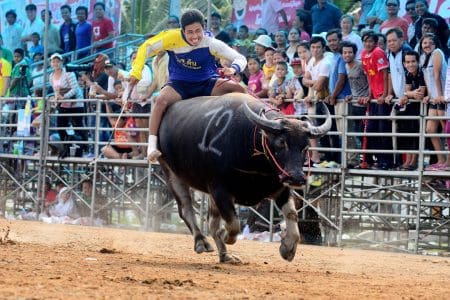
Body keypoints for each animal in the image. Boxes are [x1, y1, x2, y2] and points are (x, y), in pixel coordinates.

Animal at [158, 93, 330, 262]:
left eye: (306, 146)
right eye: (282, 142)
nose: (296, 177)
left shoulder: (281, 189)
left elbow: (292, 216)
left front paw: (287, 248)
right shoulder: (220, 190)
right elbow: (233, 224)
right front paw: (224, 234)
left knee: (211, 221)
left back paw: (225, 256)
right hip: (171, 172)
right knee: (186, 209)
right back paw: (202, 242)